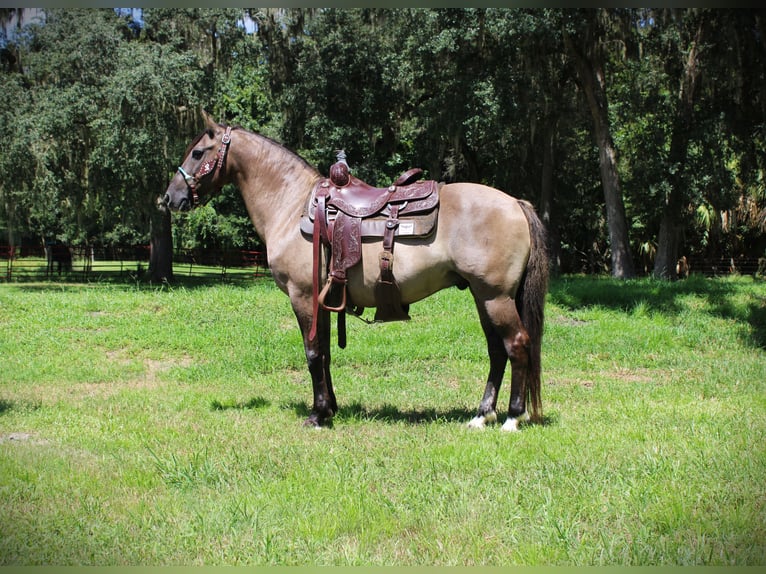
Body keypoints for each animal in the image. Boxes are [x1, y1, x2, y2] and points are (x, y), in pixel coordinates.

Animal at [163, 112, 549, 431]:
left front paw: (317, 415)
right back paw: (482, 415)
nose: (169, 198)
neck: (291, 205)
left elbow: (312, 353)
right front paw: (330, 407)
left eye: (198, 153)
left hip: (495, 297)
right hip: (484, 297)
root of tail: (515, 203)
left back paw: (512, 418)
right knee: (497, 351)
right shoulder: (323, 299)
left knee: (517, 345)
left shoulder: (303, 296)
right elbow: (325, 352)